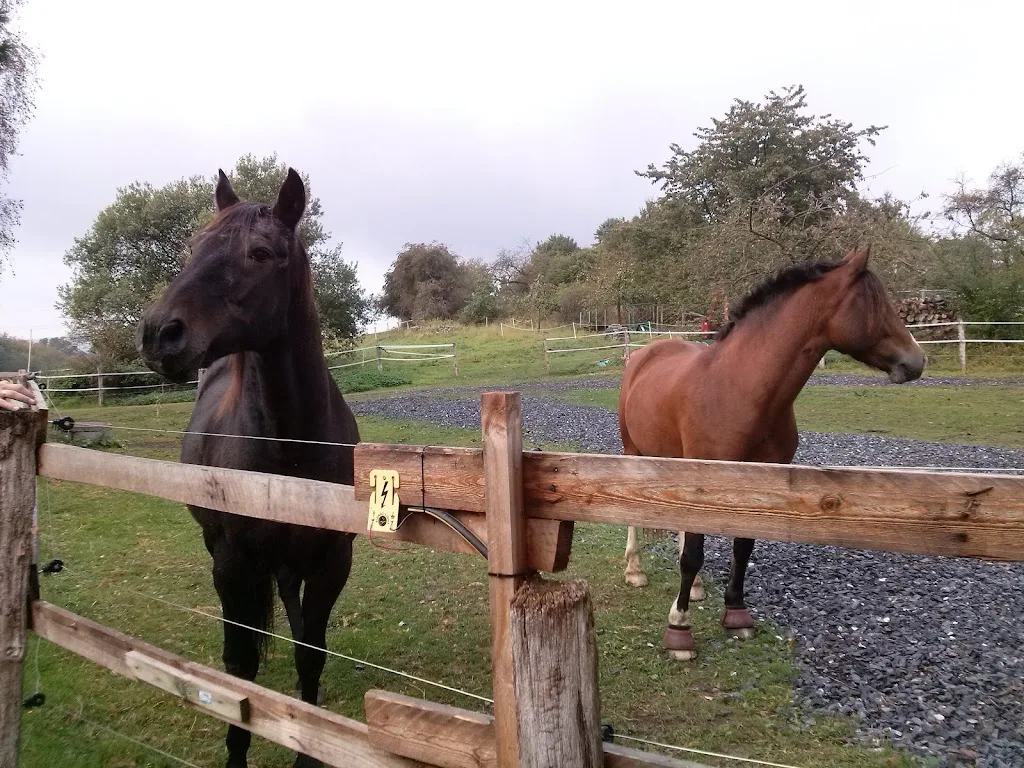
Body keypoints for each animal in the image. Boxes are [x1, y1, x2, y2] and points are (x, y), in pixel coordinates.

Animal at [137, 168, 359, 768]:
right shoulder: (232, 563)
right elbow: (239, 670)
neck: (291, 444)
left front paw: (309, 745)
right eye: (193, 246)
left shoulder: (332, 561)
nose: (160, 333)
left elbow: (312, 651)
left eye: (260, 253)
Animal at [618, 247, 926, 661]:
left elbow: (743, 546)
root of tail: (644, 354)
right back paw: (635, 571)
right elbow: (693, 554)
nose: (917, 360)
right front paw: (679, 630)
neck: (741, 389)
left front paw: (736, 613)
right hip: (633, 452)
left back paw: (695, 588)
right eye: (875, 303)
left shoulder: (759, 478)